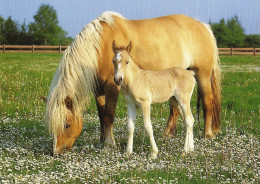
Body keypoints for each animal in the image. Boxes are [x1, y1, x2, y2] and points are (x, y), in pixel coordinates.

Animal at [45, 11, 221, 154]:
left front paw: (110, 145)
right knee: (175, 108)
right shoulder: (98, 89)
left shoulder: (112, 87)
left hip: (202, 75)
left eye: (67, 124)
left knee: (207, 102)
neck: (100, 47)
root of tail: (203, 26)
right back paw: (168, 134)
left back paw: (207, 135)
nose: (56, 152)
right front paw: (102, 141)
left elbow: (109, 116)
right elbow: (102, 115)